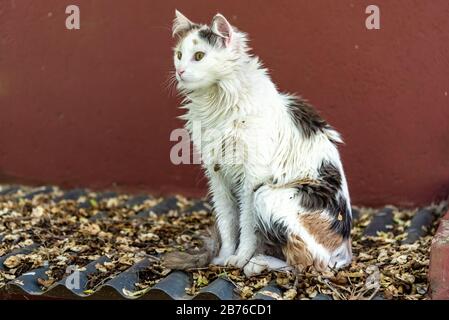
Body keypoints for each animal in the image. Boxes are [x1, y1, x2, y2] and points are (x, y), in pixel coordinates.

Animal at [163, 10, 352, 278]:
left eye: (199, 56)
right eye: (179, 54)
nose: (179, 70)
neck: (216, 101)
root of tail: (345, 253)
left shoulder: (252, 177)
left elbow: (246, 225)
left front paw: (240, 258)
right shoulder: (217, 176)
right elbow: (228, 222)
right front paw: (224, 256)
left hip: (267, 195)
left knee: (311, 263)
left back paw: (257, 263)